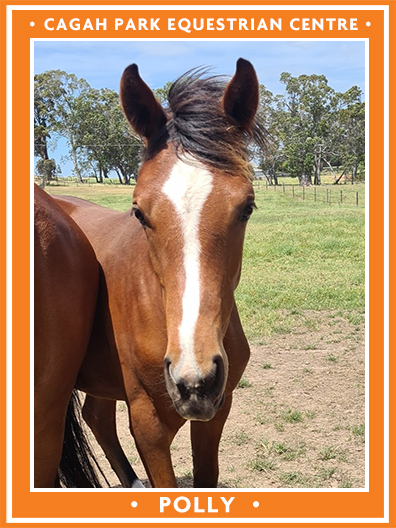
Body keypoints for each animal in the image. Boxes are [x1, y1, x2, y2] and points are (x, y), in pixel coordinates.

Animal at [55, 58, 266, 486]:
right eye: (139, 211)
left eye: (247, 207)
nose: (194, 379)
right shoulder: (148, 424)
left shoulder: (216, 411)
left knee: (97, 417)